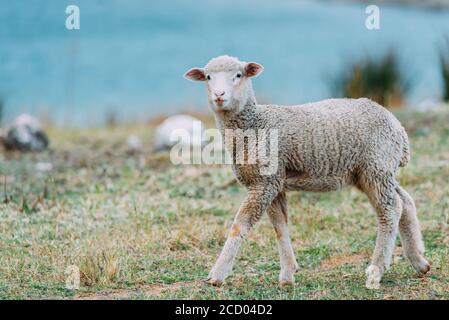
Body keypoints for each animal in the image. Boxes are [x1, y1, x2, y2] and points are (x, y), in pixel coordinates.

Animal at [184, 55, 428, 290]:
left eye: (238, 75)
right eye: (208, 77)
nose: (219, 95)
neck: (254, 124)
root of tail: (398, 128)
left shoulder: (264, 183)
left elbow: (239, 226)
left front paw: (217, 274)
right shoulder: (274, 183)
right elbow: (280, 226)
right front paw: (287, 274)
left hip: (376, 167)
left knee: (390, 210)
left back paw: (377, 268)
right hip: (373, 171)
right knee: (405, 202)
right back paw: (419, 260)